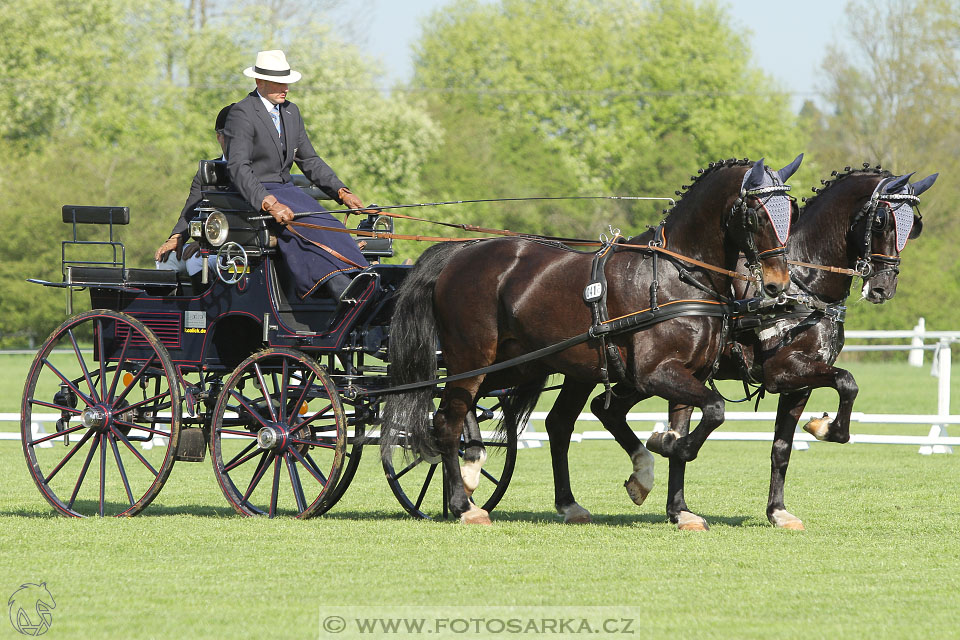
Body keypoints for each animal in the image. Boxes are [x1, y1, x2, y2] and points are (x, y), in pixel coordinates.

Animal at [382, 156, 804, 524]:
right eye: (756, 214)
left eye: (792, 210)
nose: (778, 285)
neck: (677, 273)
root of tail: (459, 254)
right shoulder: (654, 373)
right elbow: (711, 414)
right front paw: (660, 450)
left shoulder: (690, 375)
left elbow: (695, 426)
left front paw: (679, 508)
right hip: (472, 358)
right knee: (447, 419)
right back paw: (462, 504)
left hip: (517, 365)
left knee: (508, 416)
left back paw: (494, 475)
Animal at [556, 165, 936, 528]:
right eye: (882, 220)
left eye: (913, 225)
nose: (883, 288)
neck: (803, 285)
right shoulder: (784, 372)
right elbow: (847, 381)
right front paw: (824, 428)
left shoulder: (799, 386)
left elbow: (783, 447)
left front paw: (778, 510)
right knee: (573, 419)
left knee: (597, 412)